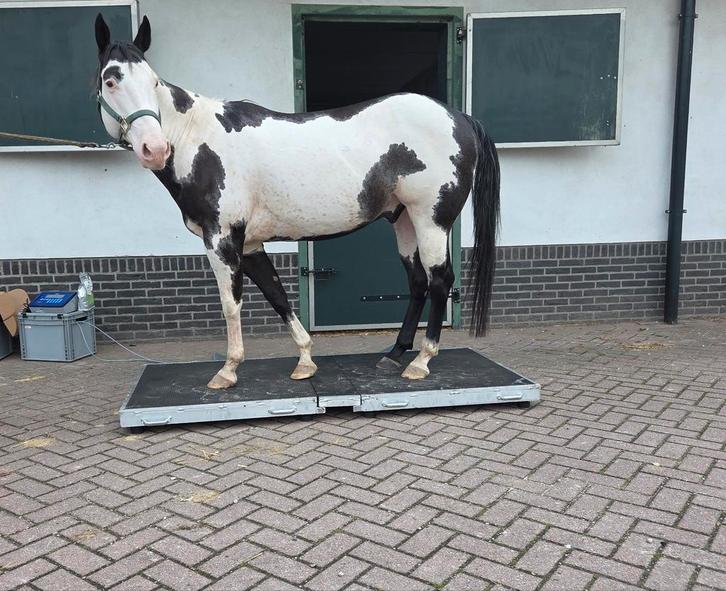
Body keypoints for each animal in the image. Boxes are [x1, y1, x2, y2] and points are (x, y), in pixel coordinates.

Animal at [94, 14, 500, 390]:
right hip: (403, 220)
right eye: (111, 80)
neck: (199, 140)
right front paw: (305, 361)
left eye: (153, 82)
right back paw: (395, 353)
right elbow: (278, 296)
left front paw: (228, 370)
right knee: (417, 282)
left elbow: (231, 303)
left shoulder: (221, 239)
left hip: (431, 221)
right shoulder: (249, 243)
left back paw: (421, 361)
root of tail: (459, 118)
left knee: (439, 280)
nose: (155, 148)